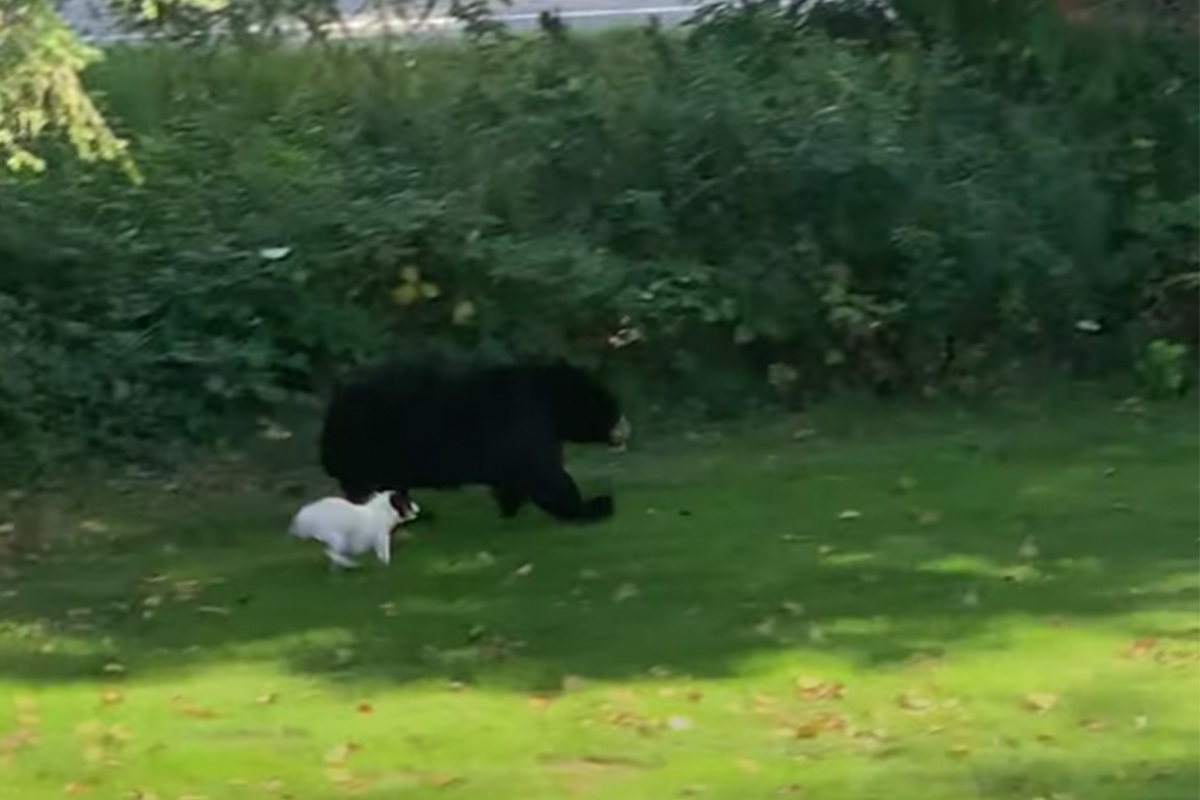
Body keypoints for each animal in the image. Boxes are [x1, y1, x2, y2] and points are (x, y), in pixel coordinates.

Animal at [317, 358, 631, 524]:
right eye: (611, 404)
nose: (626, 426)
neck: (550, 399)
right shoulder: (525, 420)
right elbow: (546, 474)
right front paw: (595, 505)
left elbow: (520, 476)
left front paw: (508, 506)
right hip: (369, 447)